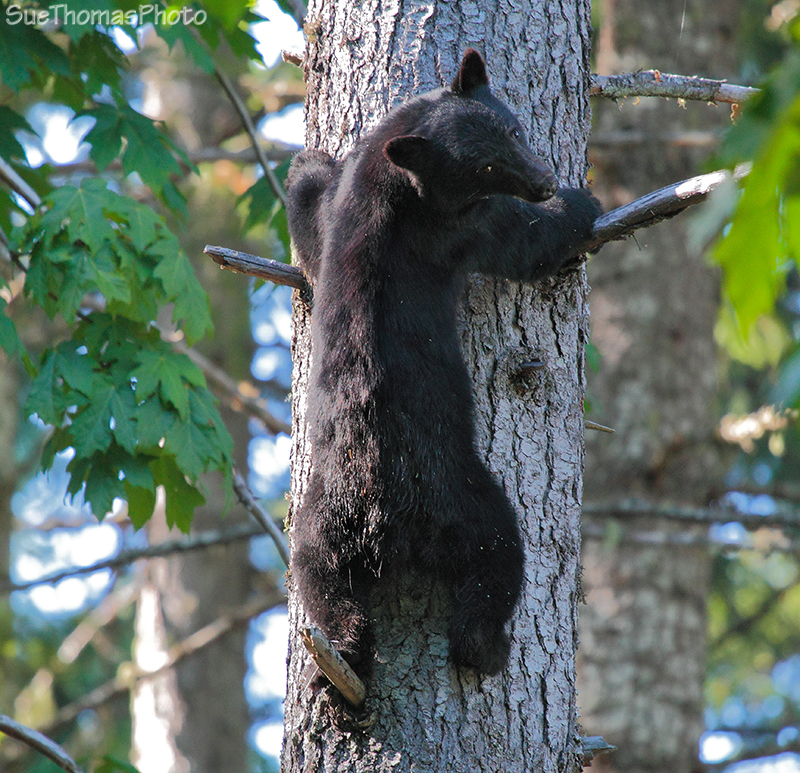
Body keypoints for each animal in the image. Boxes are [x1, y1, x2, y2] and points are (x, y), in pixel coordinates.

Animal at [285, 49, 602, 677]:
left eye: (514, 130)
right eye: (483, 166)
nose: (544, 181)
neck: (386, 183)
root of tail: (385, 519)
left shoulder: (335, 218)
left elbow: (309, 225)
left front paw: (307, 158)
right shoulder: (460, 227)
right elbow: (525, 239)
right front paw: (580, 205)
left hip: (321, 523)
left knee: (318, 579)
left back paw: (344, 660)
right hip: (462, 496)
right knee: (497, 556)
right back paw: (484, 645)